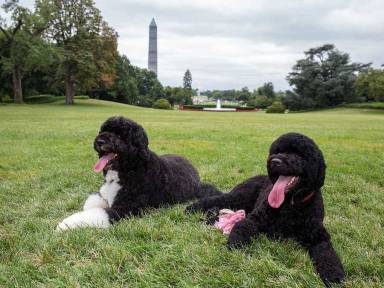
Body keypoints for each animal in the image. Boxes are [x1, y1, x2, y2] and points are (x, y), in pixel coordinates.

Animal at [55, 116, 220, 231]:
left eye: (120, 136)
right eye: (103, 131)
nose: (99, 141)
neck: (128, 169)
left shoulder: (126, 209)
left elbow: (98, 213)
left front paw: (65, 224)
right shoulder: (104, 195)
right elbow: (92, 203)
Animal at [186, 133, 344, 286]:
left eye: (298, 155)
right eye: (277, 151)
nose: (275, 161)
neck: (290, 205)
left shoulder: (319, 236)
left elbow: (327, 254)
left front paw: (333, 274)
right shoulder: (254, 220)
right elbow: (241, 226)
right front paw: (235, 244)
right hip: (238, 197)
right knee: (216, 200)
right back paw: (191, 208)